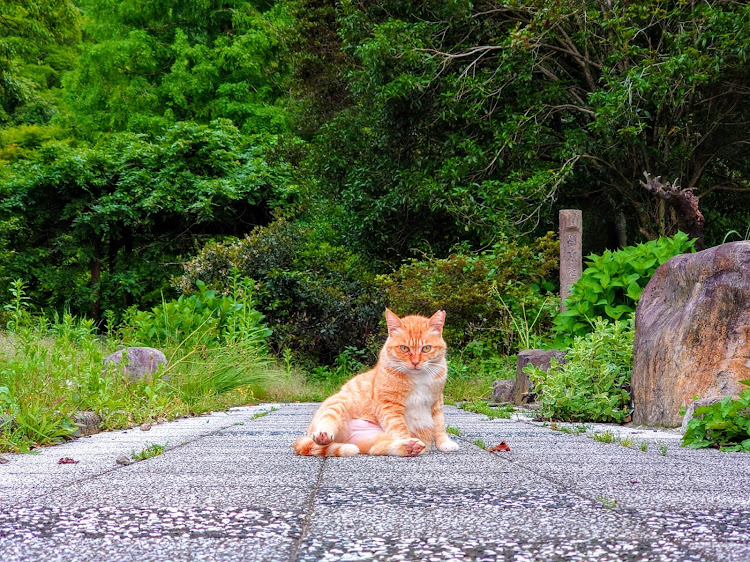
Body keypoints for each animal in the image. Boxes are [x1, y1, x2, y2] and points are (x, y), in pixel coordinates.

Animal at [292, 306, 458, 456]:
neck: (418, 378)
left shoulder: (436, 402)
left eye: (426, 348)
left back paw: (410, 447)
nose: (416, 363)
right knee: (327, 421)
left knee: (381, 448)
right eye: (404, 348)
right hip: (338, 403)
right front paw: (407, 438)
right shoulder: (389, 405)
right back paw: (323, 435)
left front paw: (444, 443)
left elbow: (439, 425)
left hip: (371, 440)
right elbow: (400, 427)